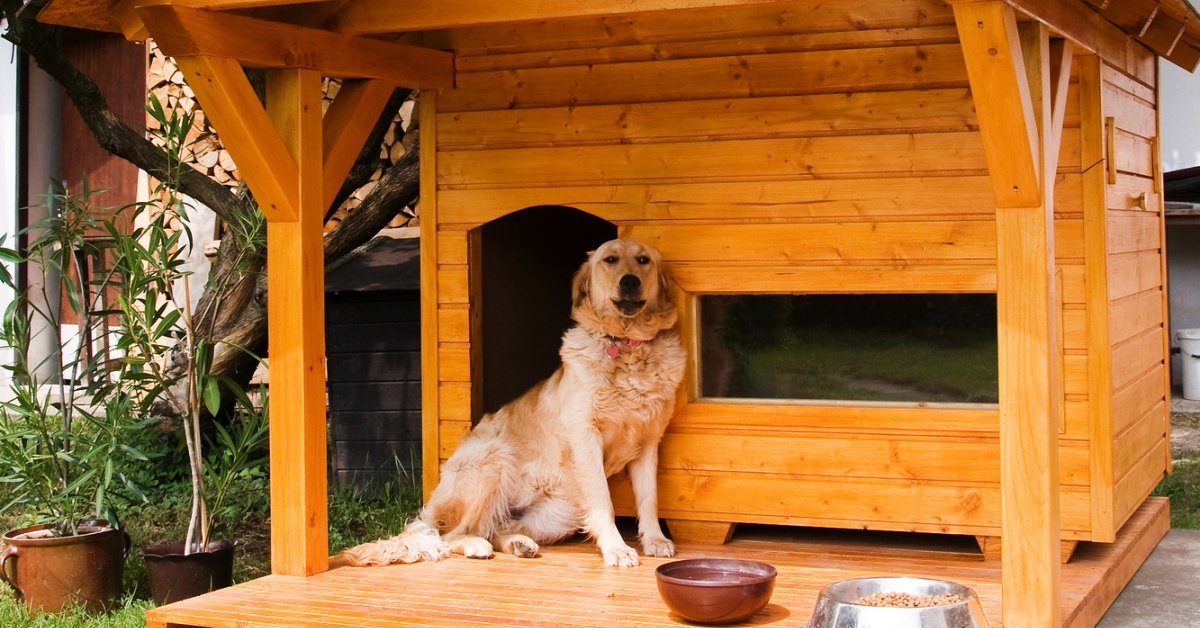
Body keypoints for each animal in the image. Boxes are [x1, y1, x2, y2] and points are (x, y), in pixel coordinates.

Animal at [336, 237, 686, 569]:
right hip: (494, 458)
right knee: (453, 534)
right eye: (610, 259)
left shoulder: (648, 442)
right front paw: (617, 548)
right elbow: (604, 502)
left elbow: (649, 498)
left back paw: (519, 543)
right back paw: (477, 546)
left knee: (495, 526)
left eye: (643, 260)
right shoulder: (586, 438)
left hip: (558, 514)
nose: (630, 281)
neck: (627, 346)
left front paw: (654, 539)